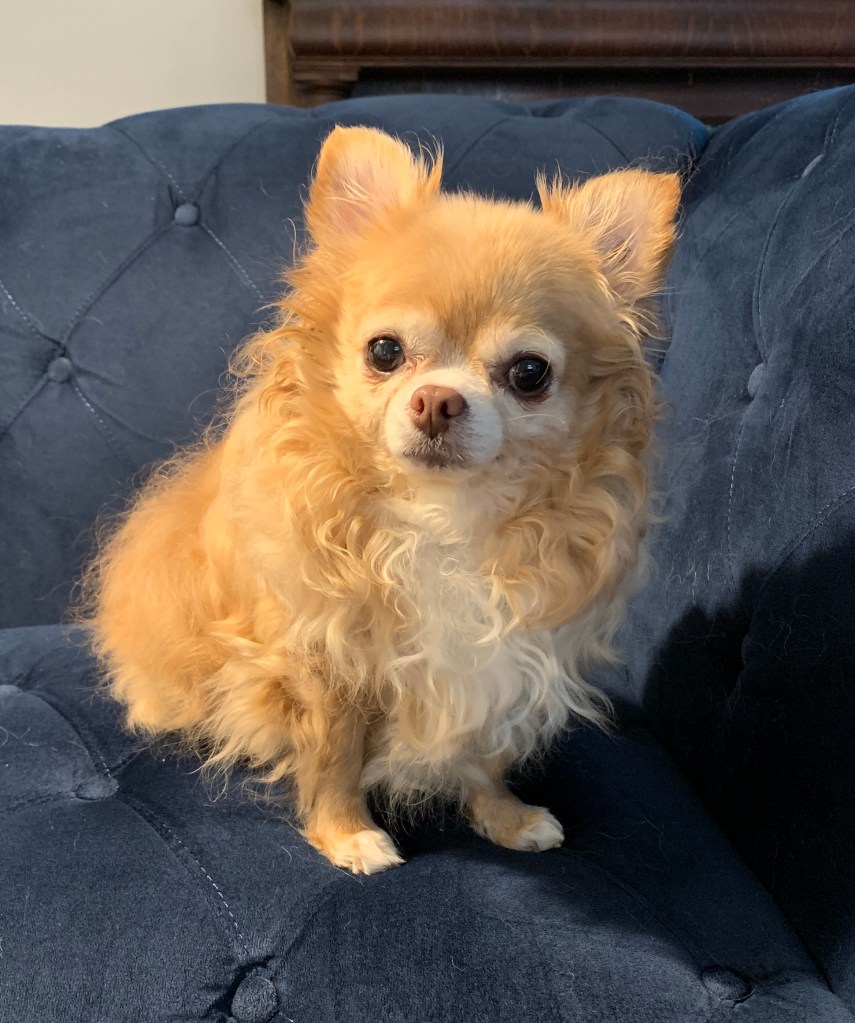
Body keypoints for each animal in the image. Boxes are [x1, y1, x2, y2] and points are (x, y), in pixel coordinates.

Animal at [84, 126, 680, 874]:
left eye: (529, 373)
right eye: (385, 351)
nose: (437, 400)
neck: (442, 517)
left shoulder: (494, 659)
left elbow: (483, 755)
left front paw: (505, 817)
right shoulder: (326, 663)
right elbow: (335, 759)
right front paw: (347, 834)